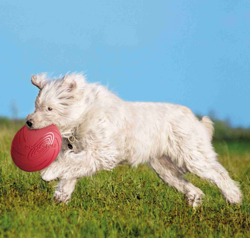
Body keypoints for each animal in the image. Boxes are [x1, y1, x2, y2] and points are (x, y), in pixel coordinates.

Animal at [25, 73, 242, 207]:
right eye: (36, 105)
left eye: (49, 108)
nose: (28, 122)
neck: (82, 115)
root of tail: (195, 120)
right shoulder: (84, 152)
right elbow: (70, 170)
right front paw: (60, 198)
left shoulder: (101, 152)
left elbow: (68, 163)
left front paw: (48, 173)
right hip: (165, 168)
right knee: (193, 188)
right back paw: (195, 203)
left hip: (193, 156)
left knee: (219, 174)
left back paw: (234, 198)